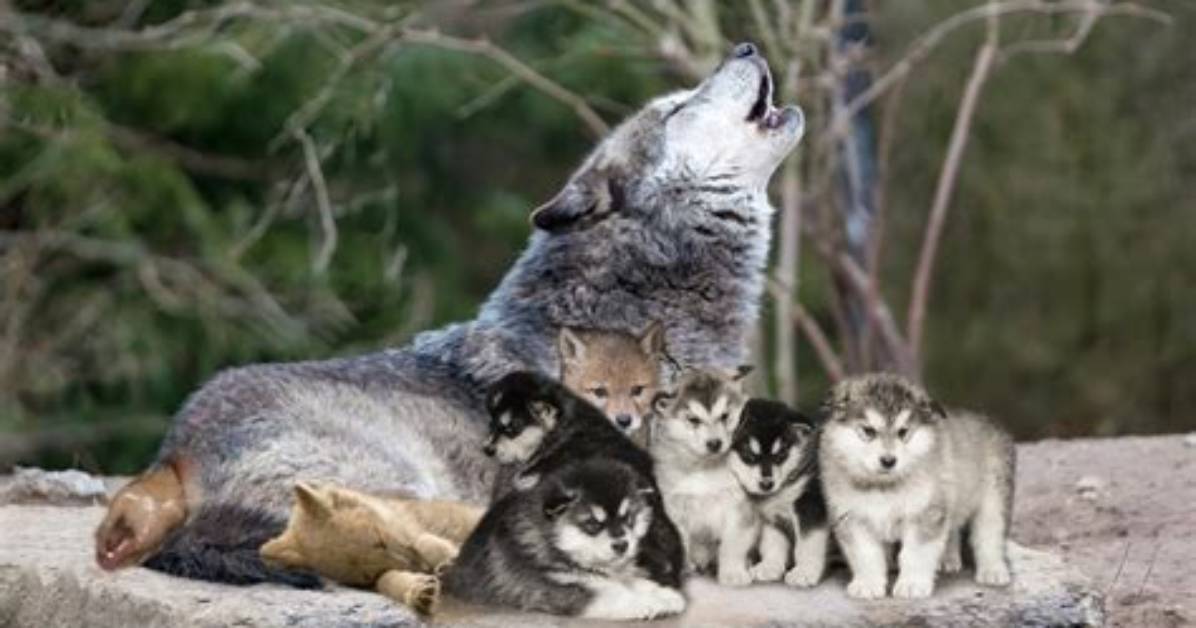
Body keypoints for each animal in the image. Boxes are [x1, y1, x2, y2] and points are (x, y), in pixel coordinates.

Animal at [819, 373, 1016, 599]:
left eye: (903, 432)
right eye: (868, 431)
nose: (888, 461)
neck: (884, 486)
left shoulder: (925, 512)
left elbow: (915, 554)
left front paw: (911, 584)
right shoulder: (852, 518)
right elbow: (866, 554)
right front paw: (867, 584)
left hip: (994, 496)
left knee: (990, 534)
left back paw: (993, 570)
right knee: (953, 528)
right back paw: (948, 559)